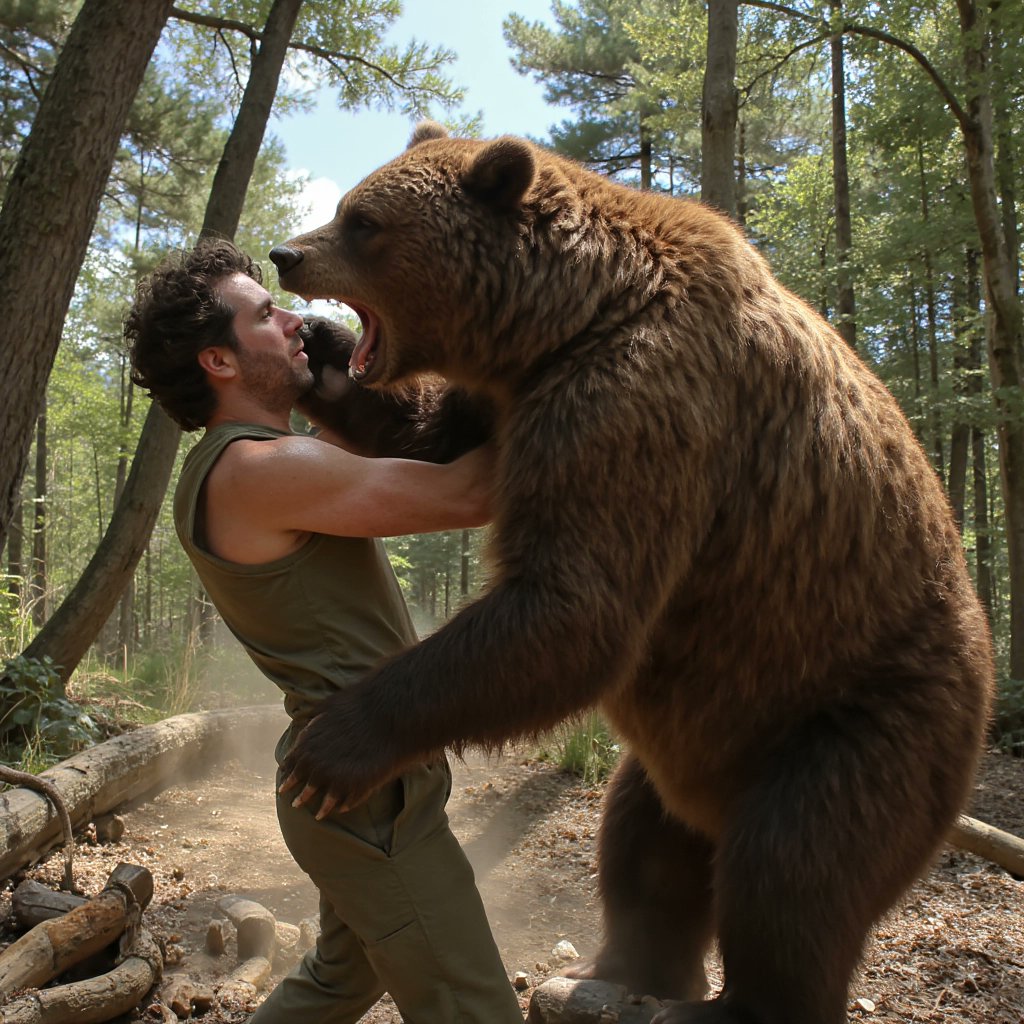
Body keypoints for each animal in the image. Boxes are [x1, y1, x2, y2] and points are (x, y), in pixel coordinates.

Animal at [269, 122, 994, 1024]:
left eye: (363, 221)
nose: (287, 254)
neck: (565, 321)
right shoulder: (513, 402)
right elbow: (428, 438)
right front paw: (321, 354)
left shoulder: (637, 411)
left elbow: (573, 608)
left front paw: (332, 745)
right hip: (698, 733)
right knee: (644, 843)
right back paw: (616, 972)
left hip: (863, 707)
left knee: (795, 866)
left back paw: (724, 1000)